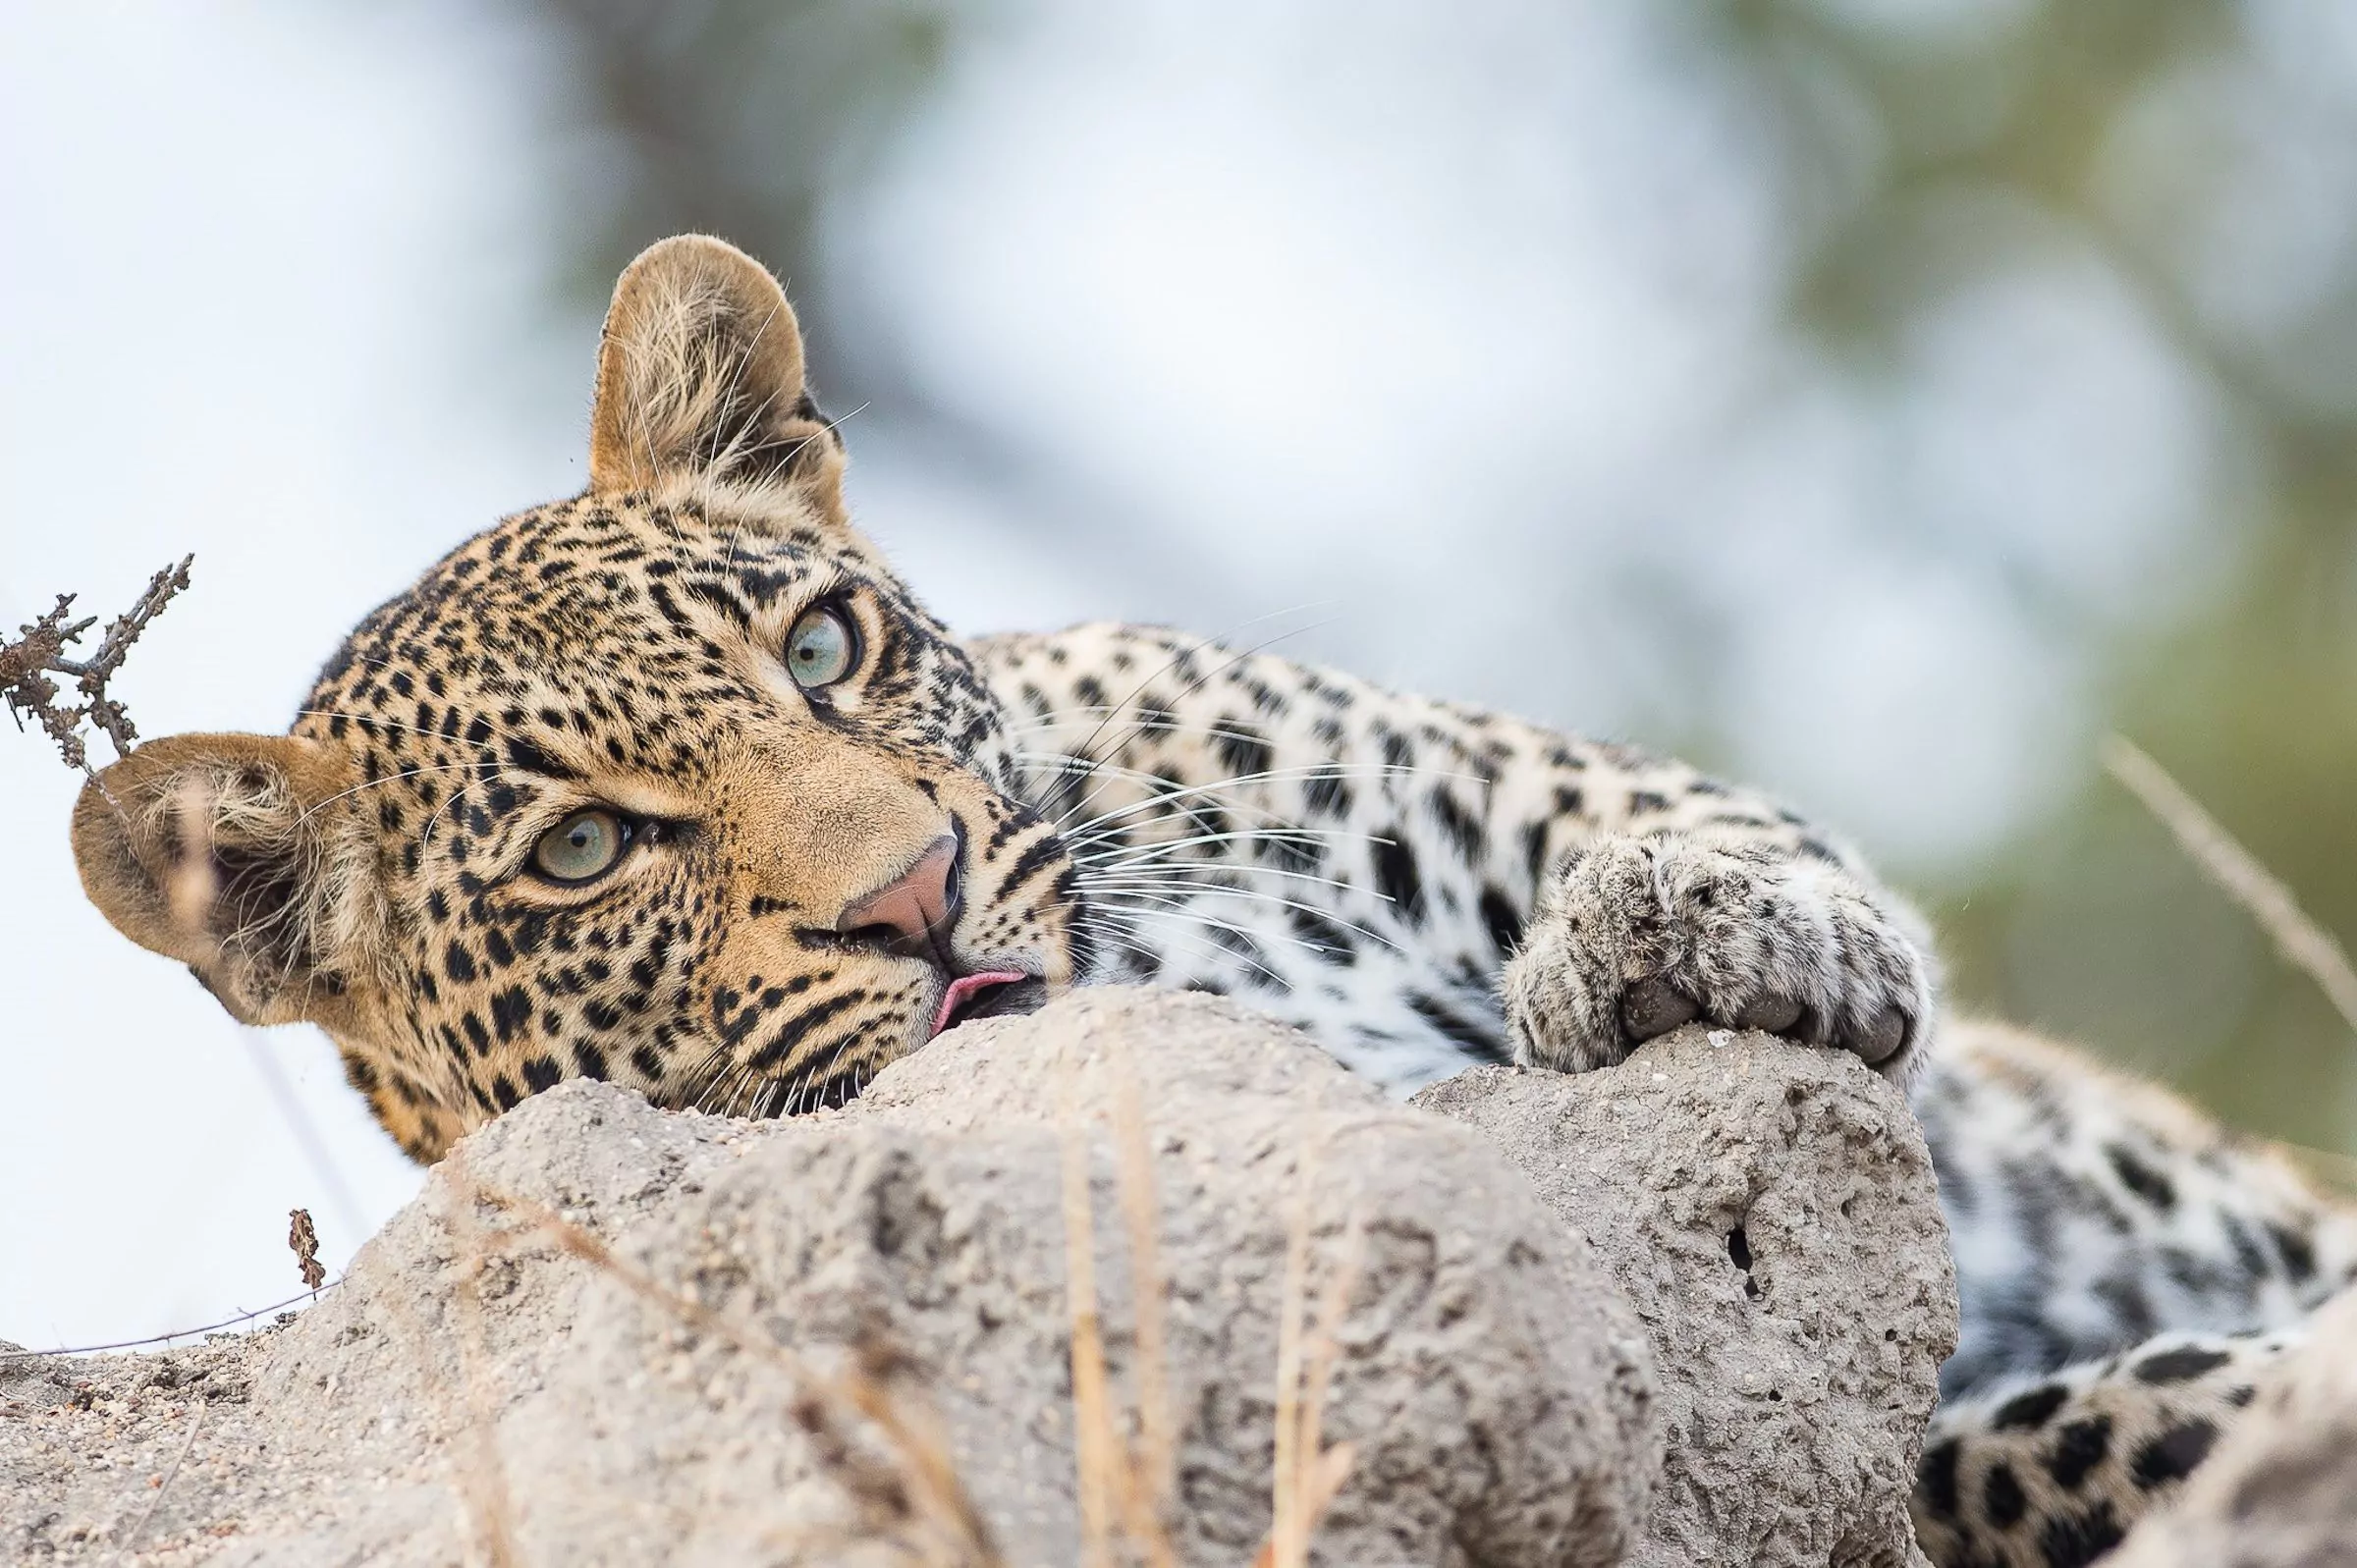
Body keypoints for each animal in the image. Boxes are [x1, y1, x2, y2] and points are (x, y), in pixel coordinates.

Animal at [64, 236, 2347, 1565]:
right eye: (581, 852)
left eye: (821, 648)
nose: (917, 892)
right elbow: (1993, 1450)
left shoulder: (1427, 764)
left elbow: (1669, 823)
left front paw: (1684, 925)